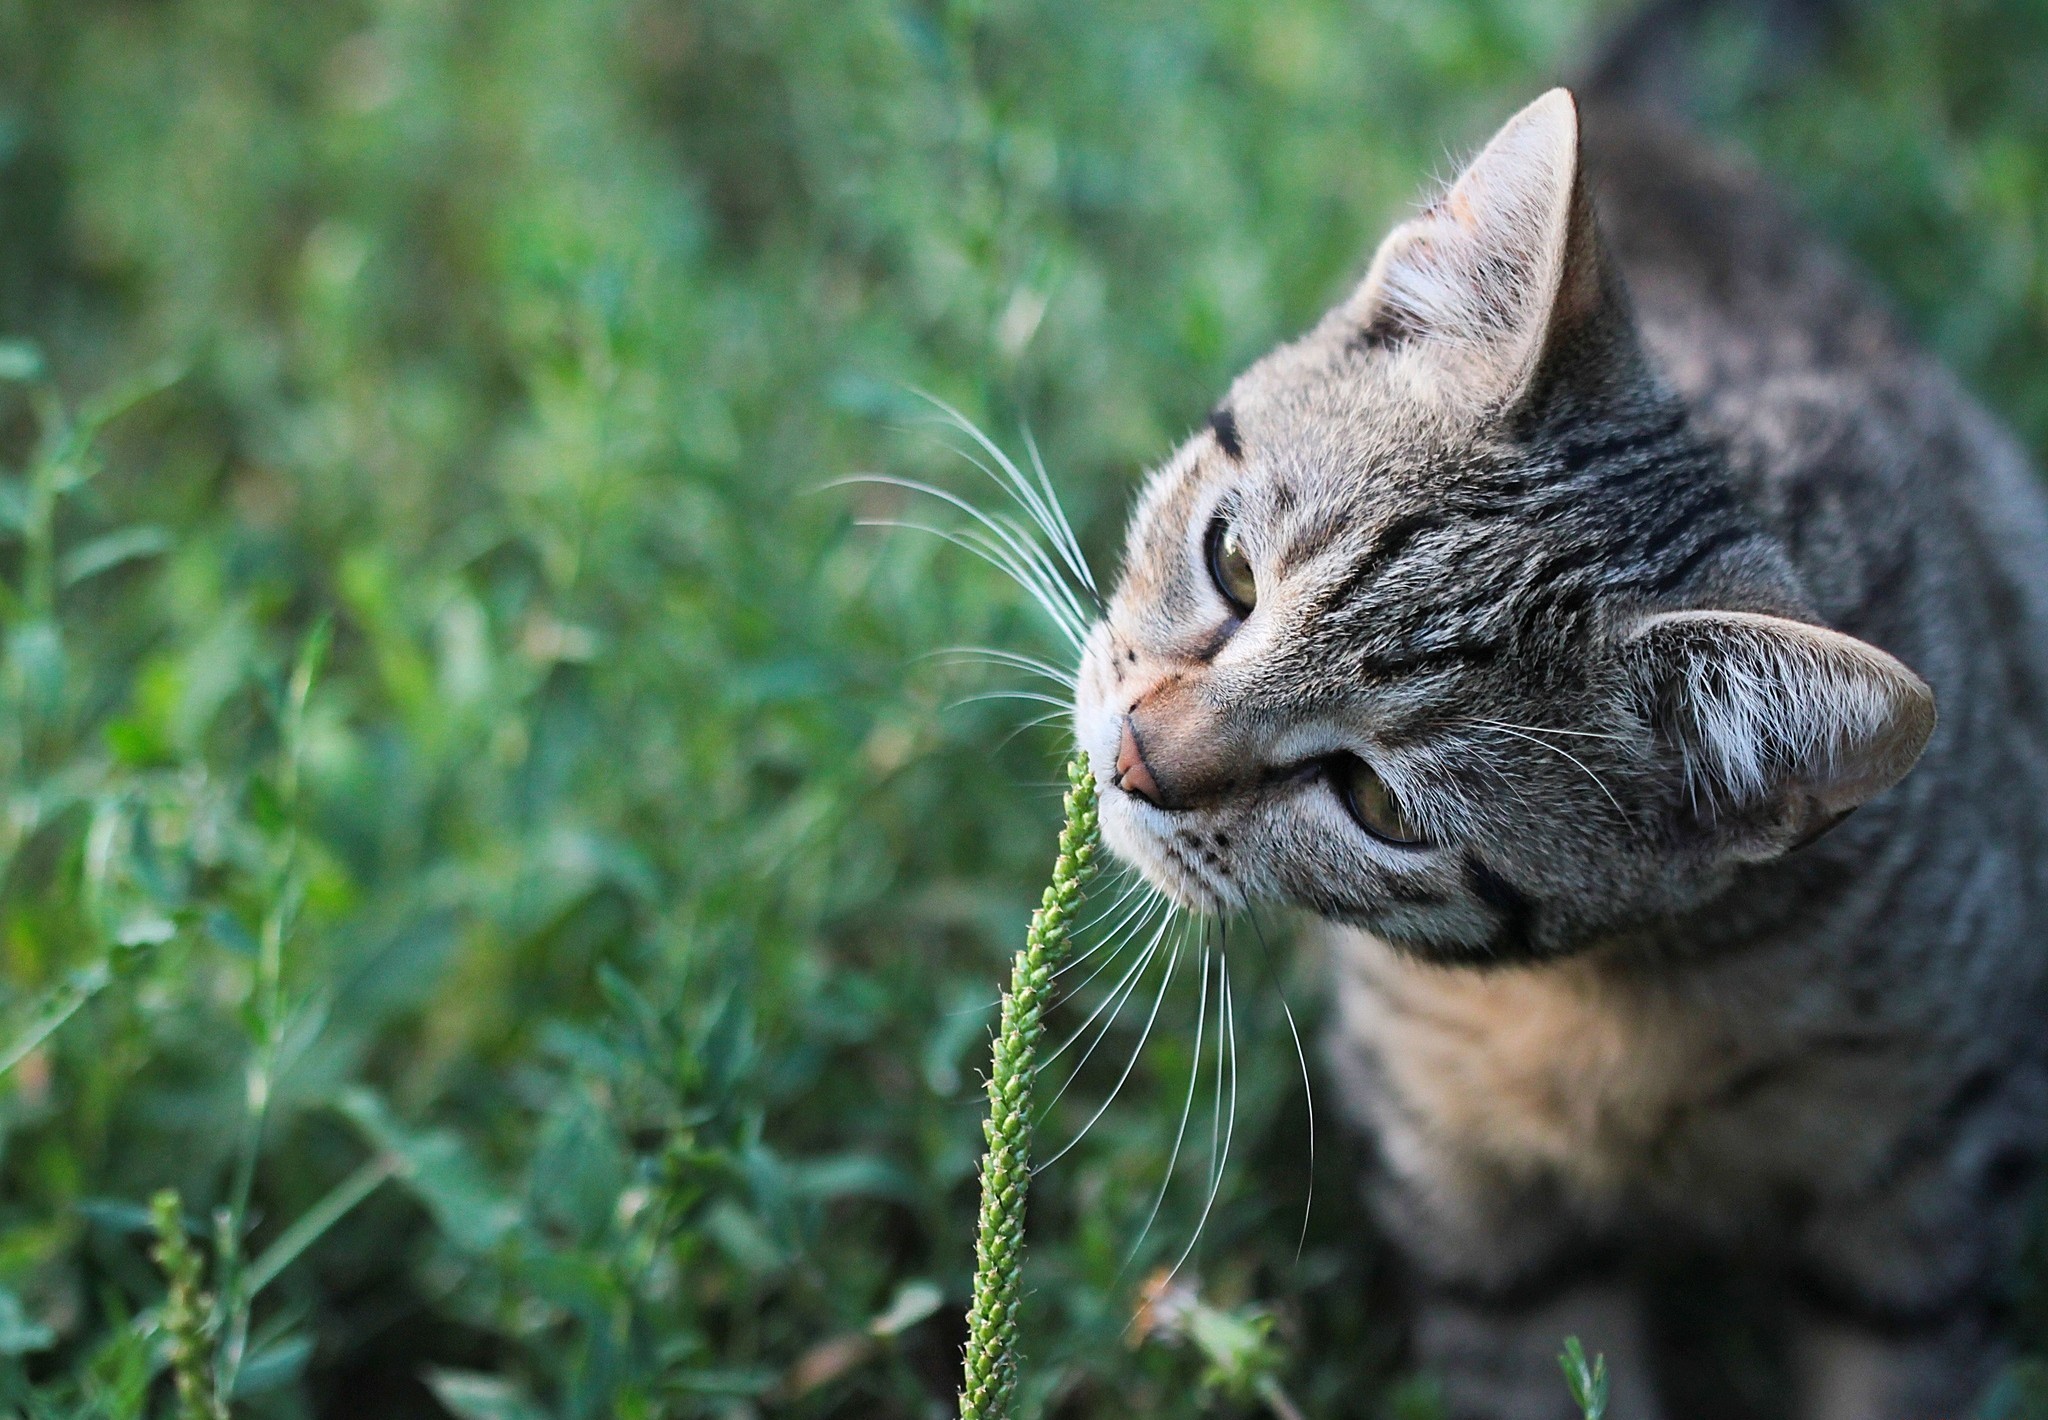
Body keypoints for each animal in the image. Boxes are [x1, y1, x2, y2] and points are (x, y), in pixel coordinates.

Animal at [1073, 86, 2048, 1417]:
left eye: (1374, 802)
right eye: (1229, 565)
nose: (1133, 760)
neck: (1620, 996)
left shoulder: (1936, 1181)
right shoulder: (1462, 1188)